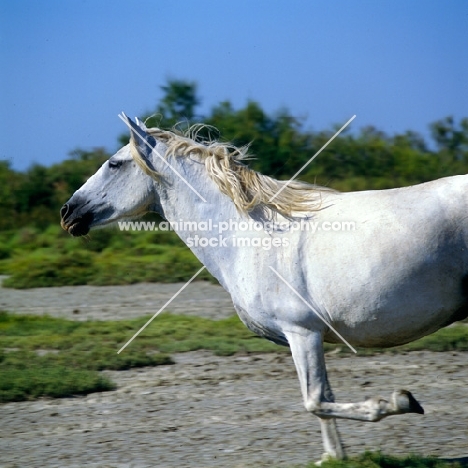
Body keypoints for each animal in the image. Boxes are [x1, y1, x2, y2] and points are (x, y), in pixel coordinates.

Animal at [60, 116, 466, 460]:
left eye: (114, 164)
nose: (68, 212)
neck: (254, 235)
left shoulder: (301, 331)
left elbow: (315, 400)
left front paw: (400, 402)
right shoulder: (305, 336)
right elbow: (323, 400)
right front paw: (334, 457)